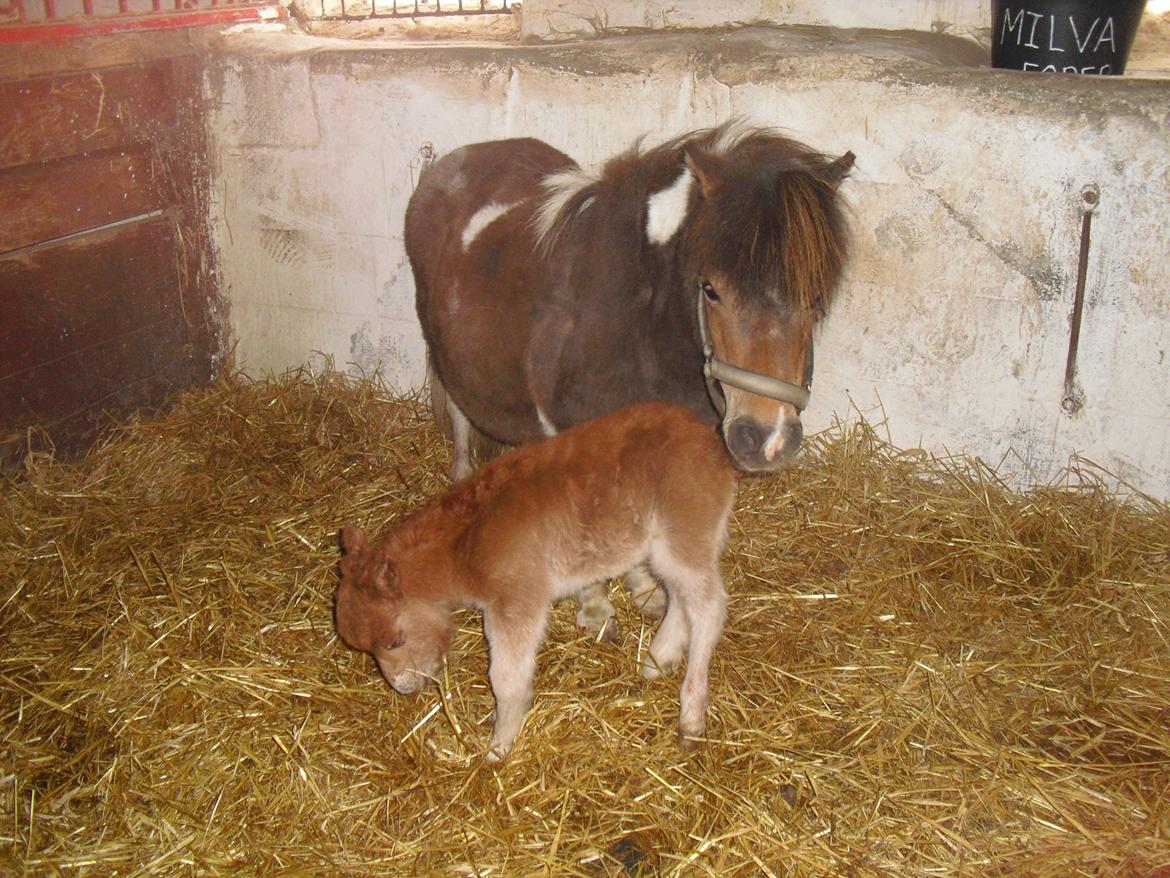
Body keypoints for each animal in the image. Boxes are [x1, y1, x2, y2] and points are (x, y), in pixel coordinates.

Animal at [334, 405, 730, 763]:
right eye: (364, 648)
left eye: (396, 640)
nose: (403, 687)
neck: (467, 542)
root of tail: (708, 440)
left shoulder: (517, 599)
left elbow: (506, 676)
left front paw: (499, 744)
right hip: (668, 546)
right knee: (682, 597)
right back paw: (659, 659)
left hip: (684, 534)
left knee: (709, 607)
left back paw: (690, 718)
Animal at [409, 120, 851, 636]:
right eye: (710, 289)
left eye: (815, 296)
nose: (767, 439)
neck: (635, 319)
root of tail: (453, 160)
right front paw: (596, 609)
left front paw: (644, 591)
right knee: (459, 417)